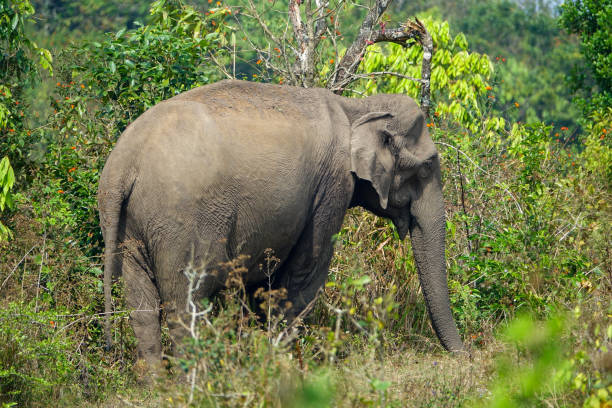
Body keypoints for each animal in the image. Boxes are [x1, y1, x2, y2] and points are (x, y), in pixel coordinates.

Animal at [99, 78, 464, 368]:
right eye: (427, 167)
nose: (465, 355)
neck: (356, 107)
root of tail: (123, 164)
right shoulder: (331, 187)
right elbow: (304, 274)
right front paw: (286, 364)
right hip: (184, 222)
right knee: (186, 302)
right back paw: (194, 380)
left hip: (130, 225)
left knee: (142, 308)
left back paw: (158, 385)